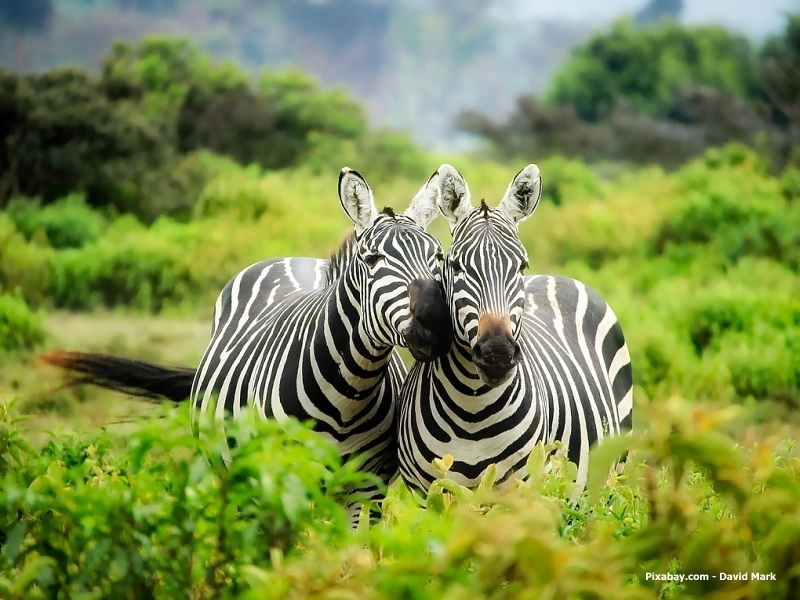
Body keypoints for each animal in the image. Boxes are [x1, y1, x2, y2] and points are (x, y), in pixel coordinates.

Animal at [43, 166, 454, 524]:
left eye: (438, 256)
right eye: (373, 259)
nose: (436, 324)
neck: (348, 394)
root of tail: (293, 258)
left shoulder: (365, 489)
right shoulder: (279, 479)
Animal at [396, 162, 636, 500]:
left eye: (521, 266)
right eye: (455, 266)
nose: (497, 353)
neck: (472, 409)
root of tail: (557, 276)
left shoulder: (522, 492)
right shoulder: (427, 494)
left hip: (611, 475)